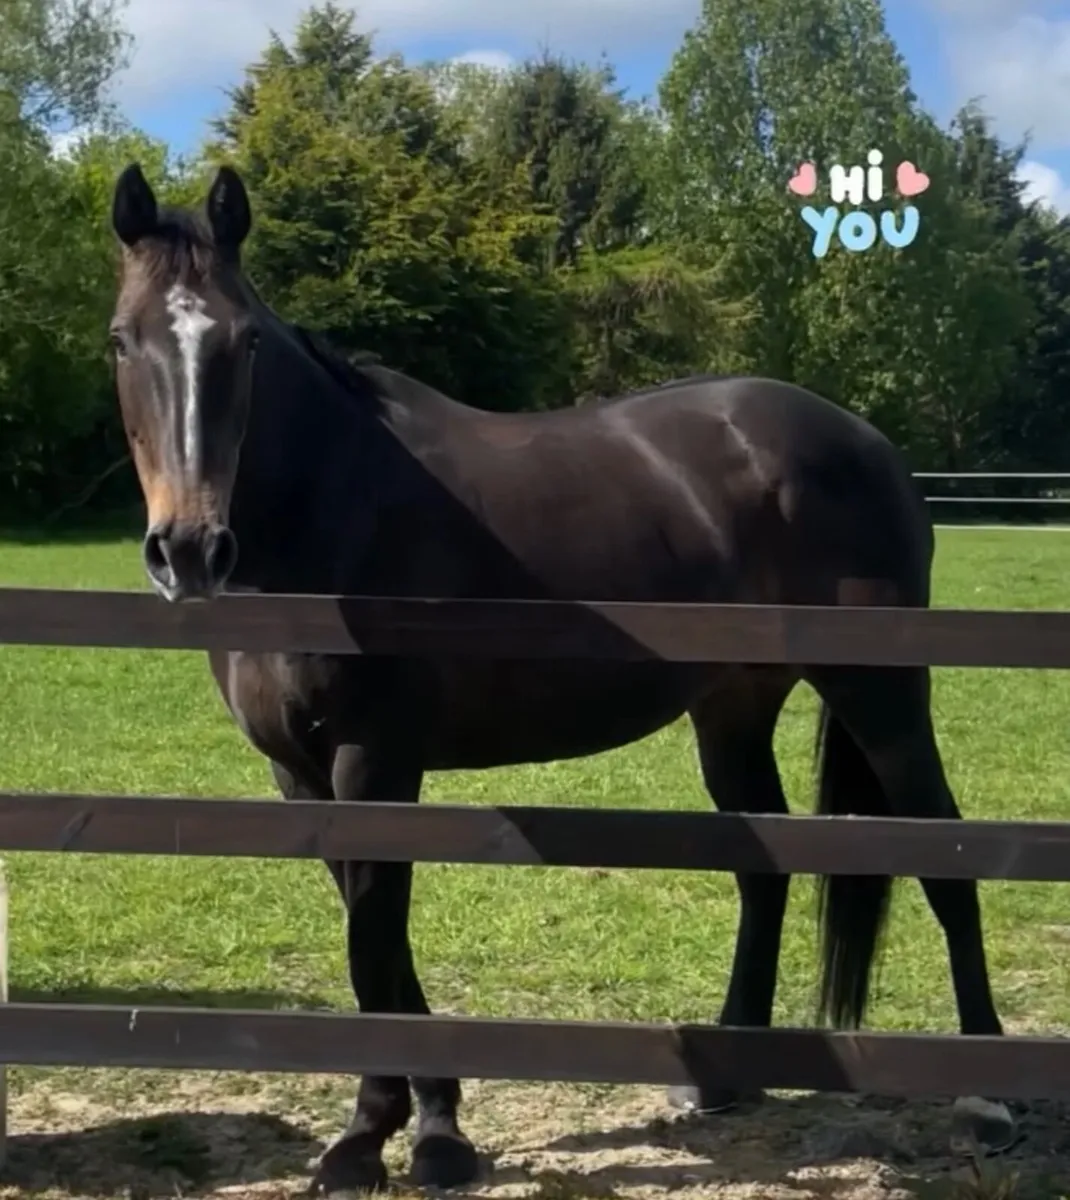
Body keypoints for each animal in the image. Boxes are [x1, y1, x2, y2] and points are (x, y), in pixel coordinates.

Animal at [106, 161, 1015, 1194]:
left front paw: (395, 1134)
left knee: (944, 854)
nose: (188, 549)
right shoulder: (300, 775)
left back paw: (987, 1095)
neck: (328, 513)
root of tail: (869, 443)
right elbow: (371, 937)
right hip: (734, 707)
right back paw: (726, 1076)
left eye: (246, 340)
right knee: (763, 864)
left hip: (881, 693)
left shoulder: (375, 762)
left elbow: (376, 939)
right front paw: (417, 1123)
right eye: (122, 339)